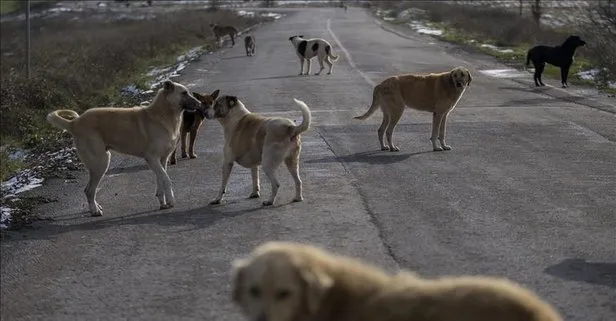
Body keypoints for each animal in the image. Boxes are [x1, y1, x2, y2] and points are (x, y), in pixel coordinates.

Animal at [44, 79, 211, 215]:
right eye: (184, 93)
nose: (200, 105)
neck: (163, 115)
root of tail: (74, 123)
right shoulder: (152, 158)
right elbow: (167, 180)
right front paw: (171, 200)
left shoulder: (162, 160)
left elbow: (161, 180)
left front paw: (163, 202)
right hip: (100, 163)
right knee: (89, 190)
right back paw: (95, 211)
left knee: (90, 189)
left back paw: (96, 207)